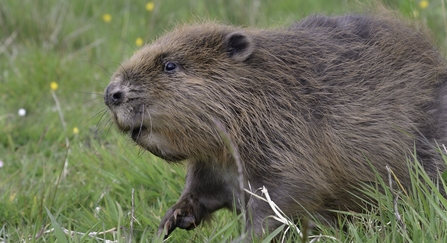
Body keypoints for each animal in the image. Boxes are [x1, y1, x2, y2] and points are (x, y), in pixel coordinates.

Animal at [104, 13, 447, 239]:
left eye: (170, 65)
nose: (111, 93)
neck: (264, 92)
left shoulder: (285, 140)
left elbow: (286, 194)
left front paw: (245, 238)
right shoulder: (212, 163)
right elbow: (201, 190)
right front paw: (171, 220)